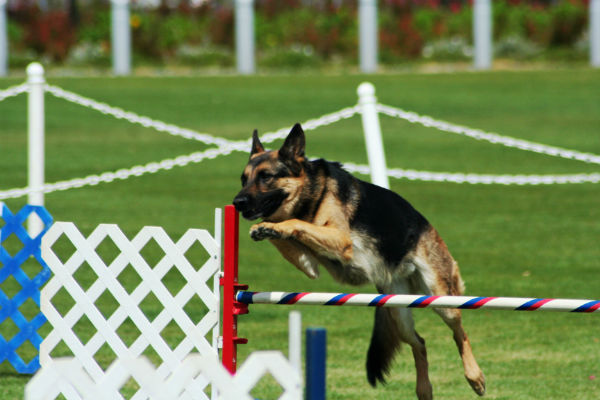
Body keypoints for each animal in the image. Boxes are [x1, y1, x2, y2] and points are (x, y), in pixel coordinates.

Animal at [232, 123, 486, 398]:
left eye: (266, 176)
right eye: (244, 179)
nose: (237, 203)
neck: (312, 195)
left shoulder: (340, 239)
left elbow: (294, 223)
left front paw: (270, 226)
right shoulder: (308, 263)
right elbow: (285, 230)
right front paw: (265, 229)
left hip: (441, 299)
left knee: (459, 332)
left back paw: (475, 377)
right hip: (399, 311)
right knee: (419, 342)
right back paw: (424, 389)